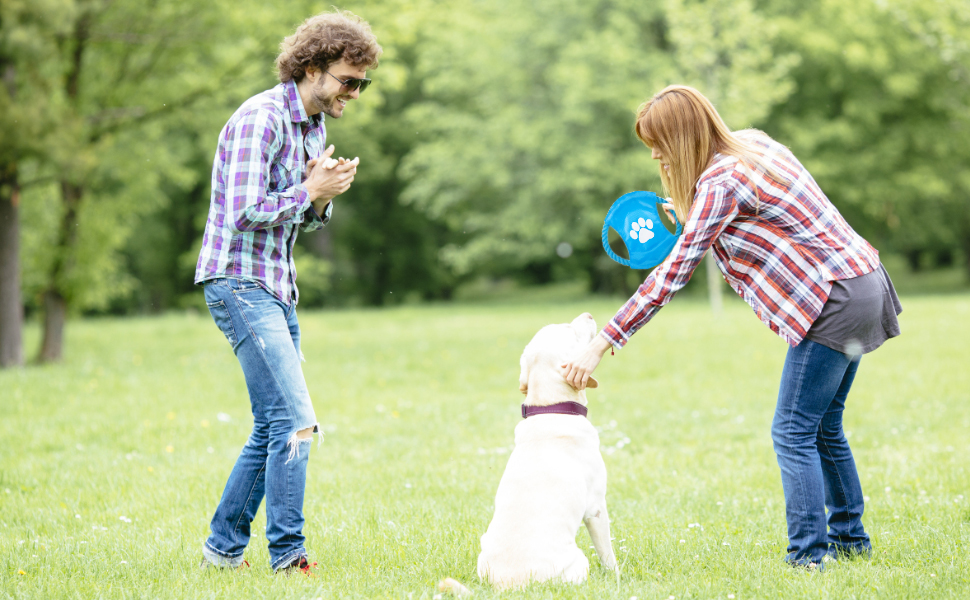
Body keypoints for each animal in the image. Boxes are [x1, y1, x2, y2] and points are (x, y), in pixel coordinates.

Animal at [476, 314, 620, 592]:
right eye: (568, 328)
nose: (588, 315)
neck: (551, 407)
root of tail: (510, 587)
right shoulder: (596, 507)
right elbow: (608, 555)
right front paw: (618, 578)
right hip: (581, 561)